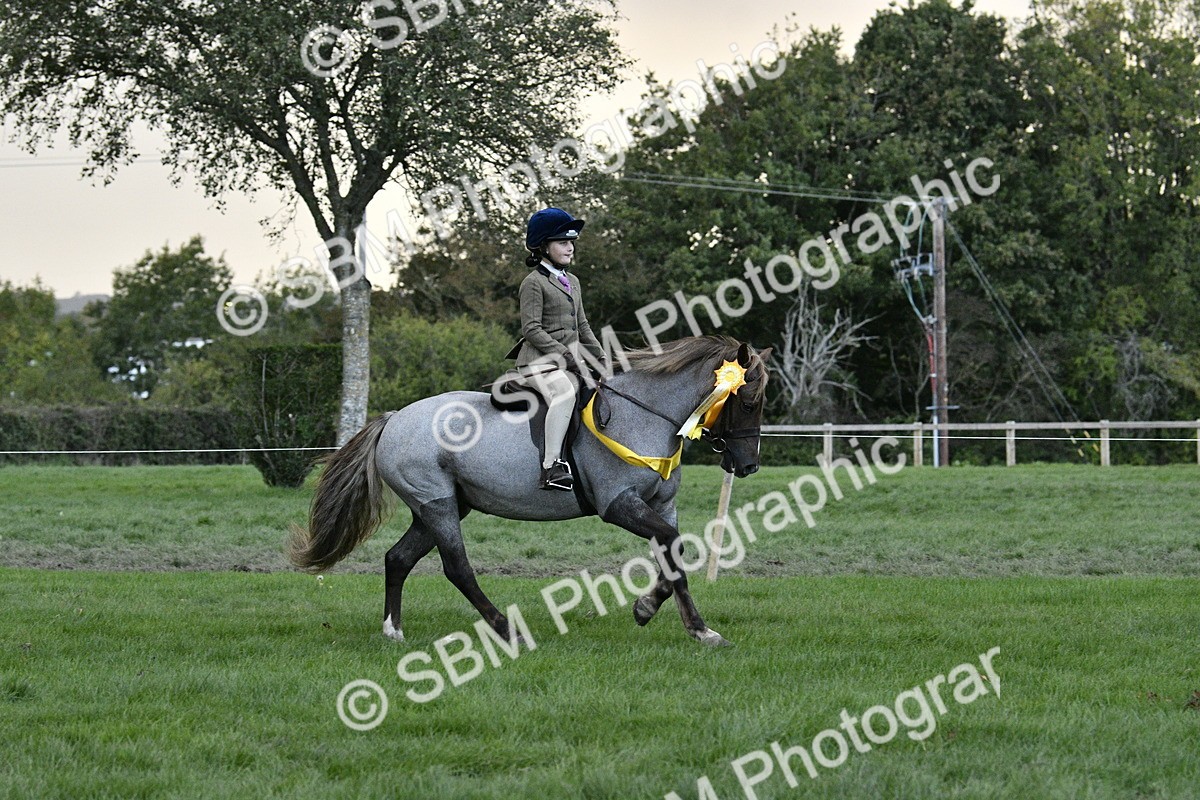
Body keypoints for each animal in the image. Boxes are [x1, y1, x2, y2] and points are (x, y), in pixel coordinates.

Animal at [288, 335, 770, 647]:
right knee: (457, 568)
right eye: (748, 402)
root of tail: (393, 419)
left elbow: (673, 559)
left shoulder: (661, 506)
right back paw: (507, 631)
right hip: (437, 504)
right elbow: (670, 548)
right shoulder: (620, 504)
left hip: (439, 507)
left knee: (398, 559)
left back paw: (394, 631)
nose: (748, 465)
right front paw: (656, 613)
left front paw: (689, 625)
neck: (644, 415)